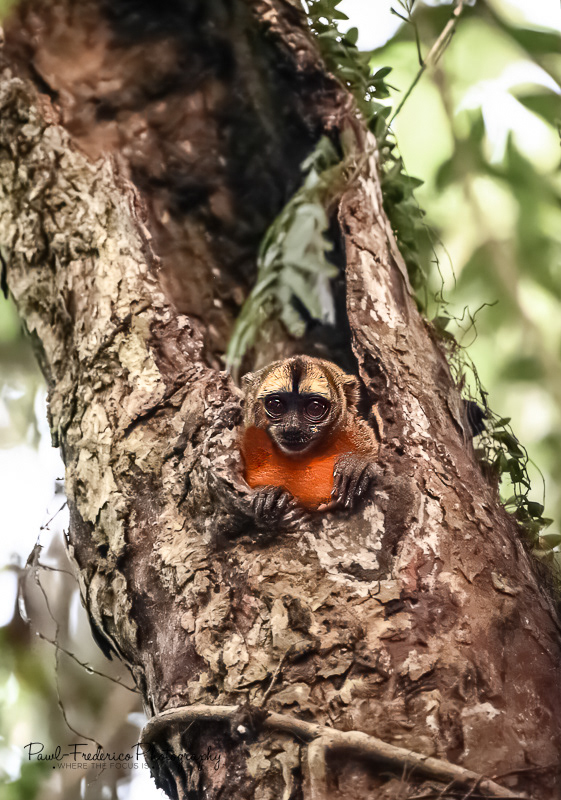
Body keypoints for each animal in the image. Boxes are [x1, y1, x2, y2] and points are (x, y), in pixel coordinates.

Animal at [240, 356, 382, 526]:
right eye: (275, 405)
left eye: (315, 408)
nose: (292, 427)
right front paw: (269, 494)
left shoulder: (355, 432)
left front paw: (357, 467)